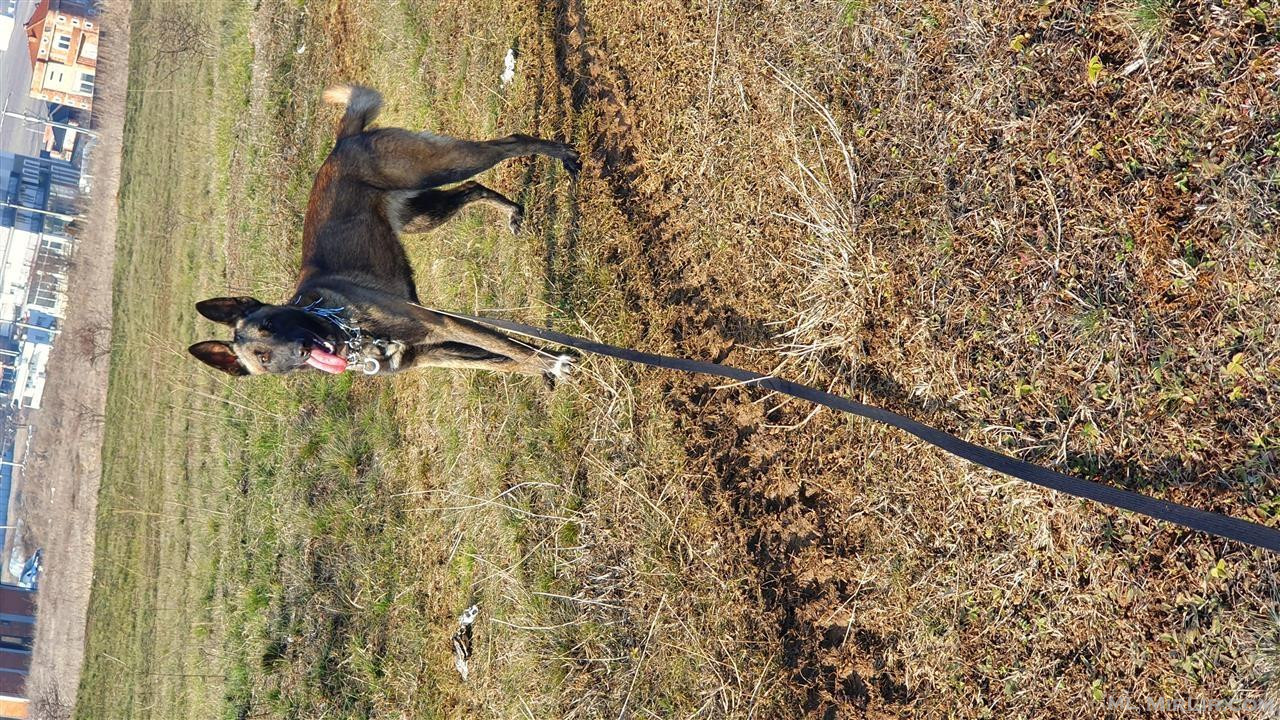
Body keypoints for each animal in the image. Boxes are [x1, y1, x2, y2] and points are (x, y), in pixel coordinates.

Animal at [188, 86, 581, 384]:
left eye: (271, 323)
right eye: (264, 358)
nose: (301, 350)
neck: (348, 331)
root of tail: (340, 143)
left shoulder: (443, 322)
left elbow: (515, 347)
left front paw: (552, 362)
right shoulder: (436, 351)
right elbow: (509, 359)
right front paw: (545, 368)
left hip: (440, 167)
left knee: (510, 142)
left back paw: (560, 153)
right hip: (420, 215)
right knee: (472, 188)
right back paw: (512, 211)